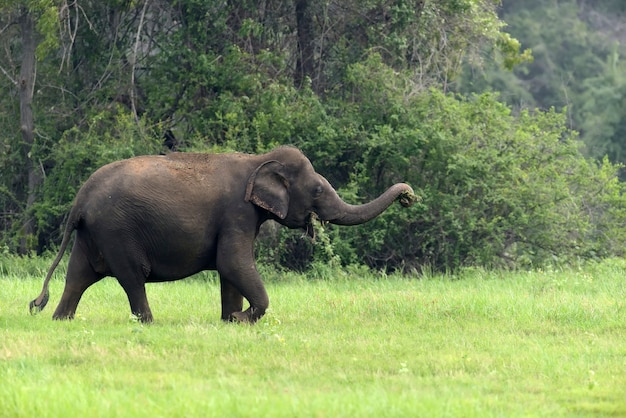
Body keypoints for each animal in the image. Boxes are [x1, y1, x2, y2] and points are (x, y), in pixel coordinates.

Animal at [31, 146, 416, 324]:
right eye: (318, 190)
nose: (409, 196)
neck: (258, 161)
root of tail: (79, 200)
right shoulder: (237, 213)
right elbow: (232, 263)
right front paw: (242, 319)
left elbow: (230, 271)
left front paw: (230, 321)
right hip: (116, 231)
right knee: (132, 278)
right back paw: (151, 324)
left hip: (93, 234)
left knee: (78, 276)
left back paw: (60, 320)